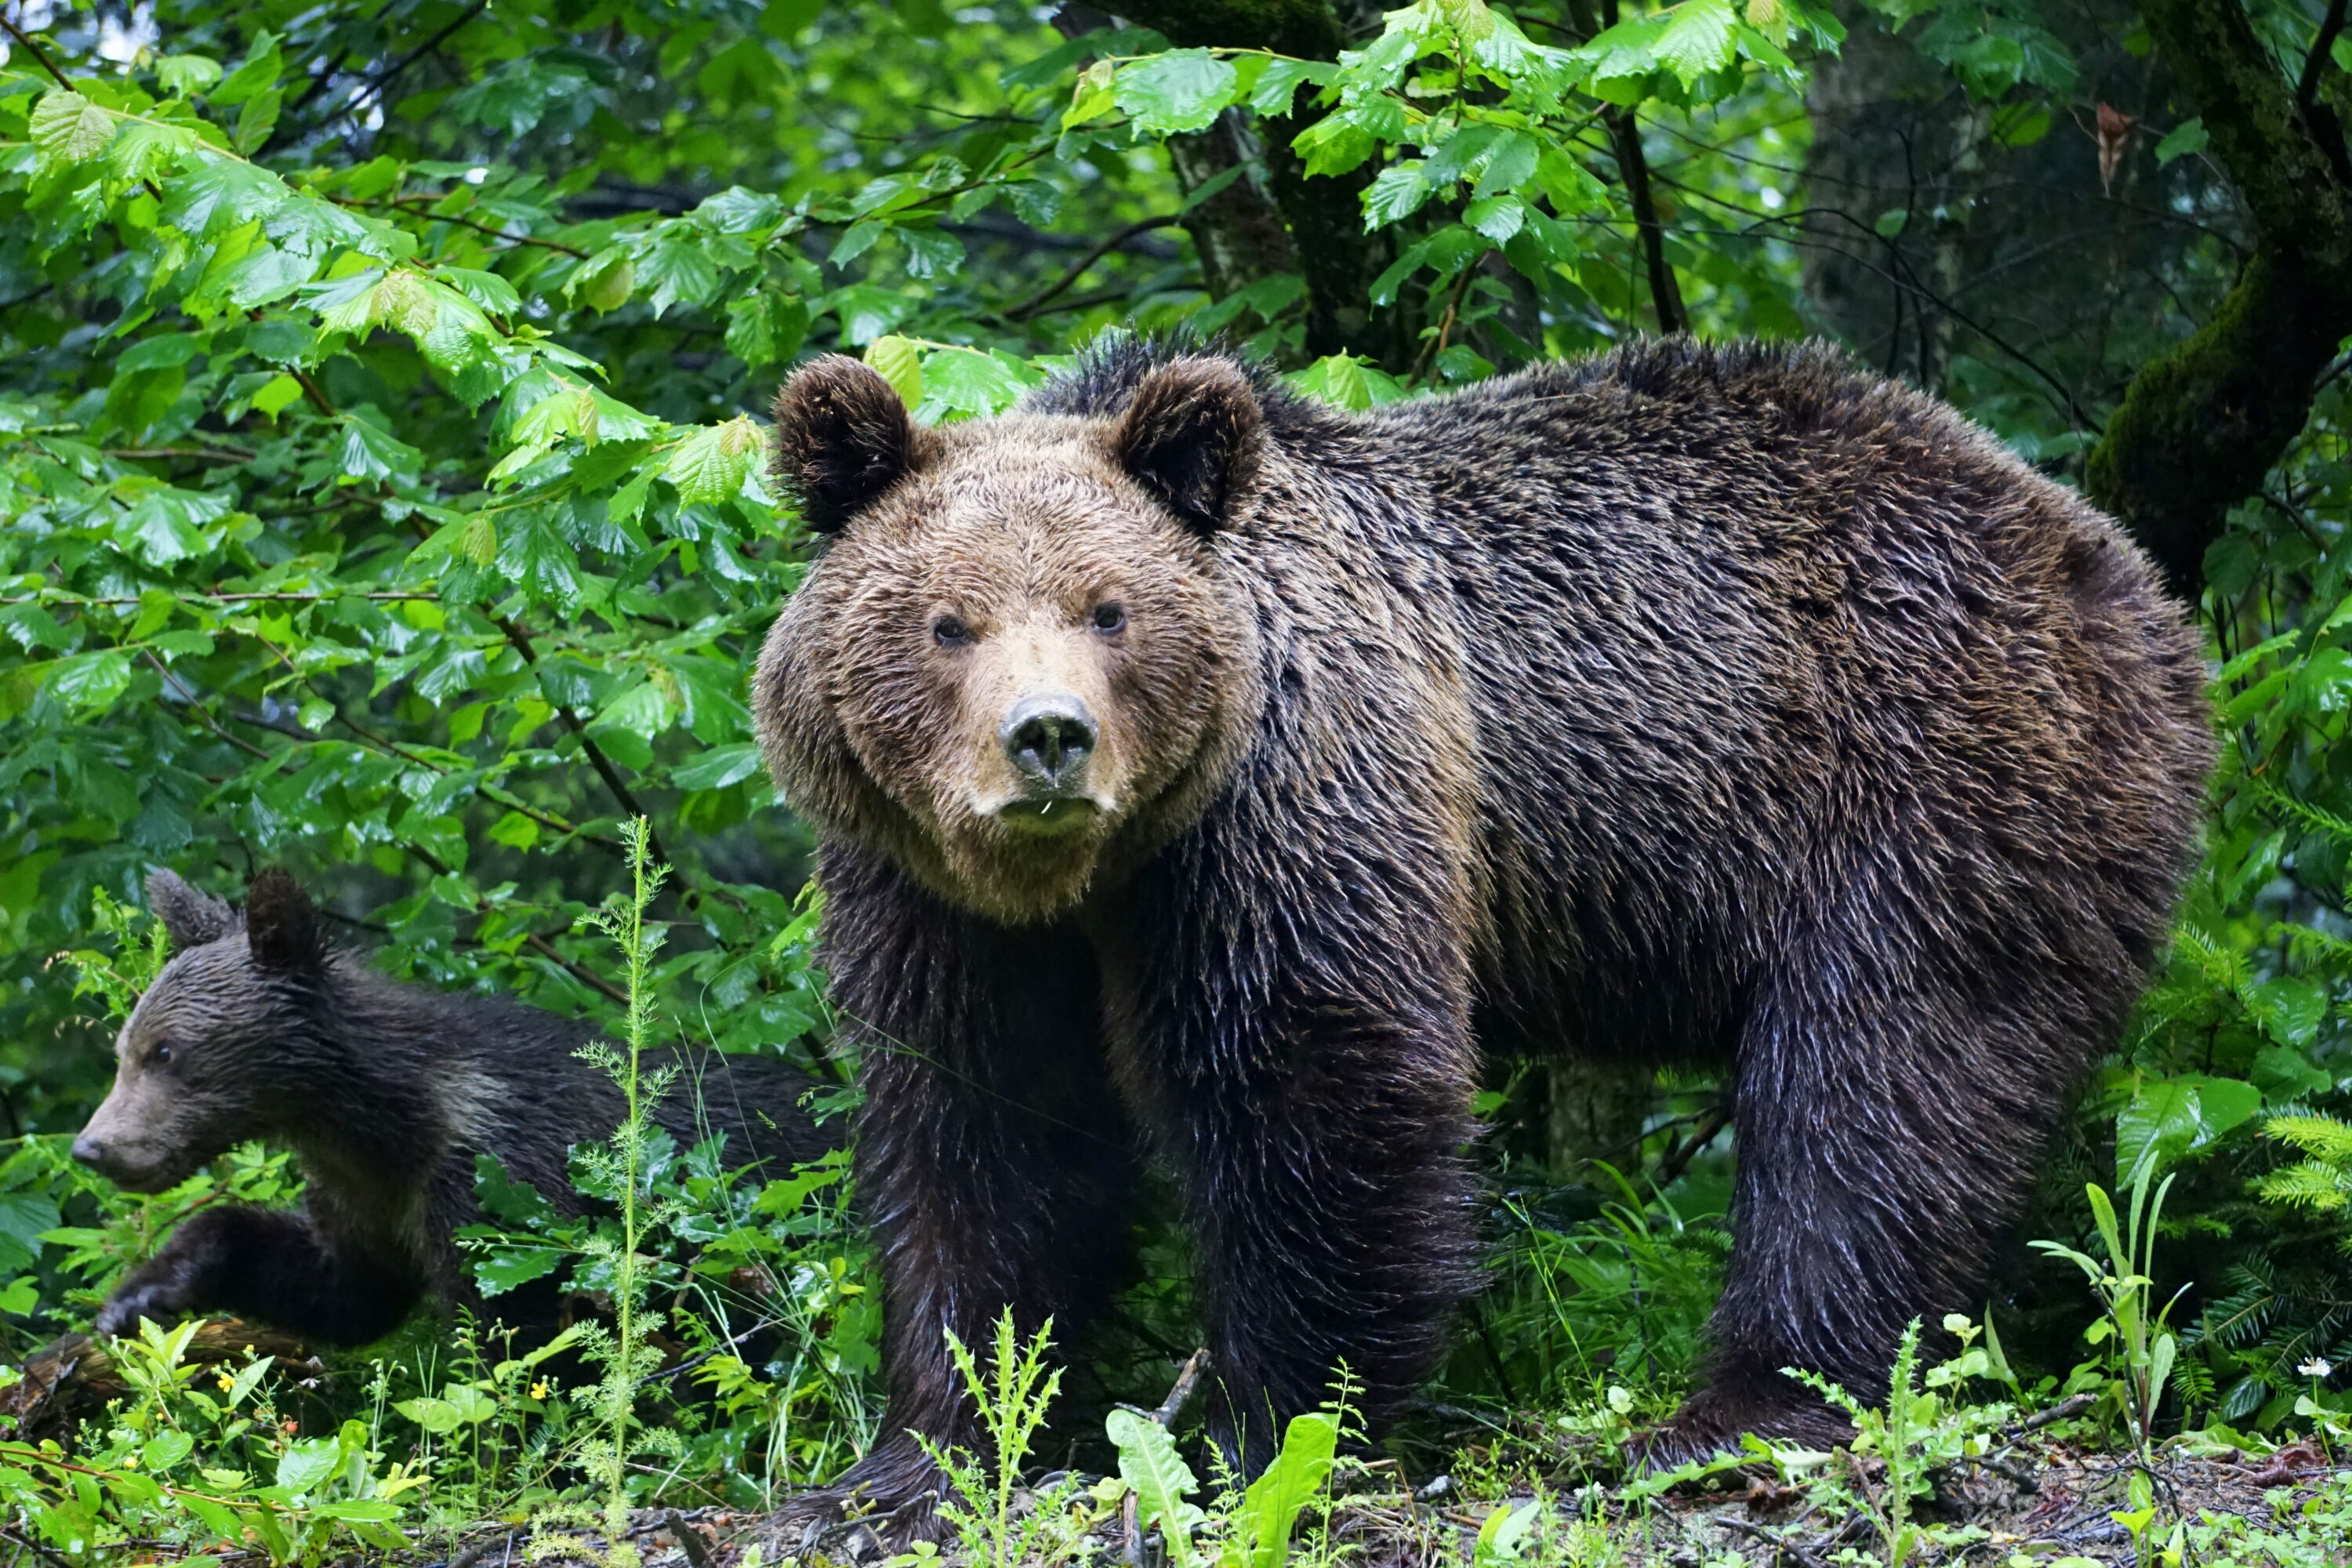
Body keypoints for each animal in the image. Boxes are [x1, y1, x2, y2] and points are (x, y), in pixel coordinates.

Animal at [748, 333, 2201, 1504]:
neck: (1099, 871)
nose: (1047, 740)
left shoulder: (1293, 803)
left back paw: (1745, 1409)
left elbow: (1315, 1084)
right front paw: (922, 1451)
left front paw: (1261, 1431)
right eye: (949, 623)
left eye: (1111, 610)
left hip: (1925, 792)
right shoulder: (936, 901)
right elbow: (983, 1123)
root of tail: (2111, 560)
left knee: (1877, 1095)